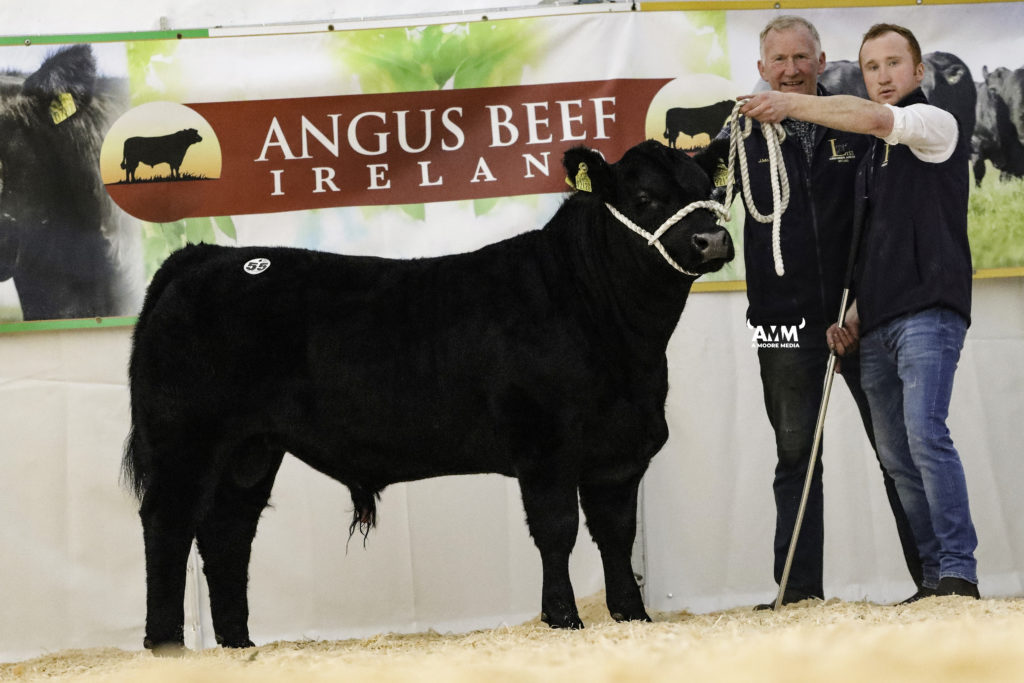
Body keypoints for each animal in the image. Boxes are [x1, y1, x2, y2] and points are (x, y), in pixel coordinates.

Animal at [122, 139, 734, 653]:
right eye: (644, 197)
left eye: (710, 190)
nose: (711, 239)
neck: (623, 340)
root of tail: (202, 256)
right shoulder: (546, 449)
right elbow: (557, 531)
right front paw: (563, 619)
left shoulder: (620, 454)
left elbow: (616, 534)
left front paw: (633, 617)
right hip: (185, 438)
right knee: (168, 524)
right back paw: (166, 646)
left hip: (250, 451)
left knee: (227, 532)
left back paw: (237, 645)